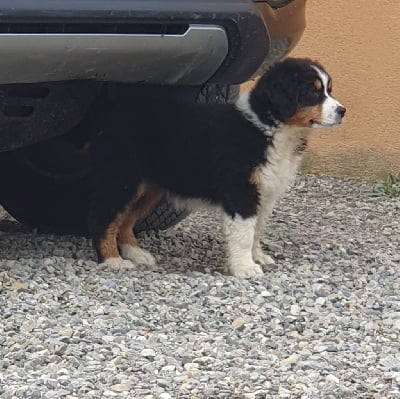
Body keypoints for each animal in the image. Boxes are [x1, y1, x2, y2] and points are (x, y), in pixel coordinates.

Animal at [89, 57, 346, 280]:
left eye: (328, 89)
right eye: (312, 91)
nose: (342, 111)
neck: (269, 128)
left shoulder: (265, 193)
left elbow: (257, 229)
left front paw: (257, 257)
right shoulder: (240, 191)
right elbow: (244, 233)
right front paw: (245, 268)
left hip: (148, 188)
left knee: (125, 220)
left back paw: (135, 253)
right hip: (122, 179)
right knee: (106, 219)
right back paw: (113, 260)